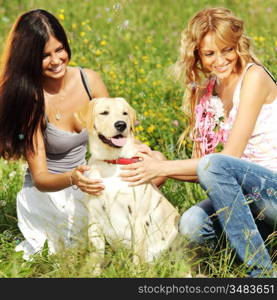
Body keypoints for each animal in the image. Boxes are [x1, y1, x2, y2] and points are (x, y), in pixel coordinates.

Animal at [75, 98, 179, 264]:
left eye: (124, 113)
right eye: (104, 112)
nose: (121, 124)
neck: (112, 163)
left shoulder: (139, 219)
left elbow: (137, 258)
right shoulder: (94, 219)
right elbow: (96, 258)